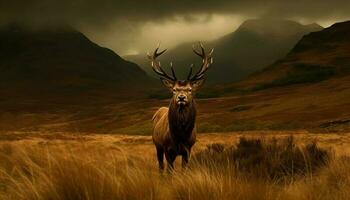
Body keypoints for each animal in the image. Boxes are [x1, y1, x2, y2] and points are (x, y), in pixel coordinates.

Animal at [148, 43, 213, 171]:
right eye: (174, 90)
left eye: (190, 89)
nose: (181, 97)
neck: (180, 137)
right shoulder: (167, 148)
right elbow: (170, 170)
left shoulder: (188, 149)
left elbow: (184, 170)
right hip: (157, 145)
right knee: (161, 166)